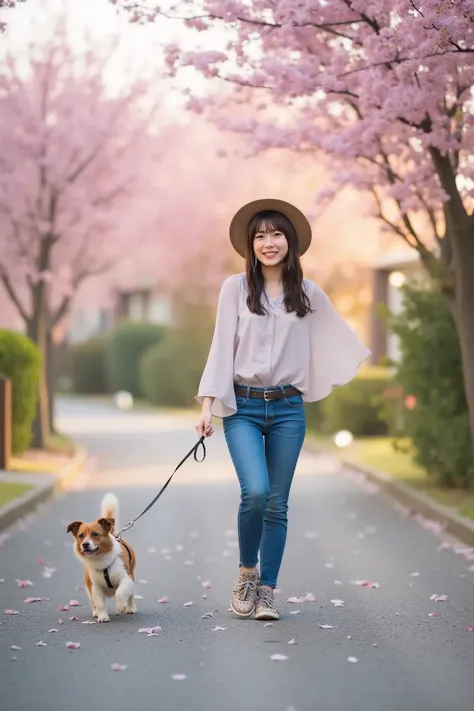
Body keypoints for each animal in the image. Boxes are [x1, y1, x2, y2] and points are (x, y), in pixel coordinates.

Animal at [65, 496, 135, 624]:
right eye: (81, 536)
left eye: (95, 534)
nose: (85, 544)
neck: (101, 559)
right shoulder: (95, 586)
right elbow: (99, 603)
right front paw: (102, 616)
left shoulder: (126, 578)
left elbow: (120, 592)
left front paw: (120, 606)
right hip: (88, 587)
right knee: (94, 602)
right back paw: (96, 612)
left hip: (132, 578)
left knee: (131, 596)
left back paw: (130, 608)